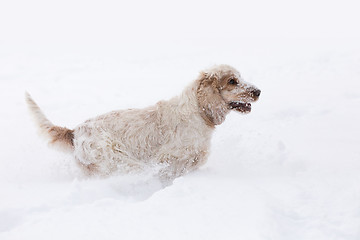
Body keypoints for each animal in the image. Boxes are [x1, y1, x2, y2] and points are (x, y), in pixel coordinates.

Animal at [26, 64, 260, 179]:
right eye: (232, 81)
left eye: (240, 77)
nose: (258, 91)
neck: (197, 112)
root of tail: (75, 132)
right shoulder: (169, 156)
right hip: (121, 159)